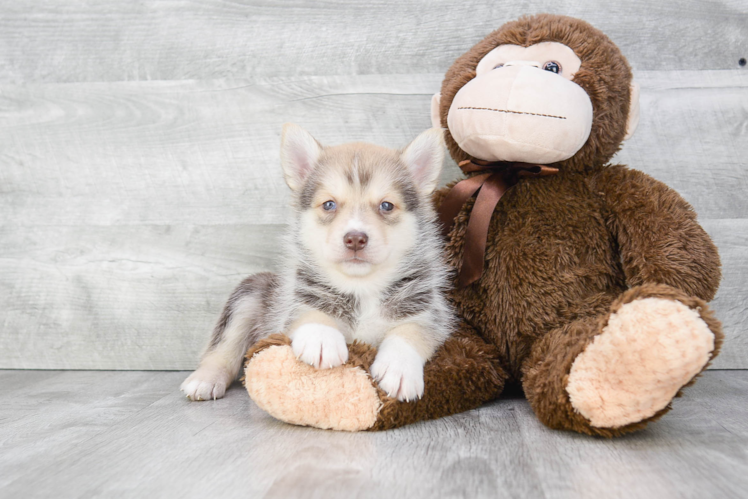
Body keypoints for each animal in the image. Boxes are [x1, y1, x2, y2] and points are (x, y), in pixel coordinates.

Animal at [184, 124, 458, 402]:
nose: (355, 238)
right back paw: (205, 379)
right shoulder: (295, 301)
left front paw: (399, 367)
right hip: (247, 295)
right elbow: (311, 312)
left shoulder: (429, 312)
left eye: (386, 205)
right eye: (329, 204)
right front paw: (321, 339)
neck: (362, 287)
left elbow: (410, 332)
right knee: (222, 348)